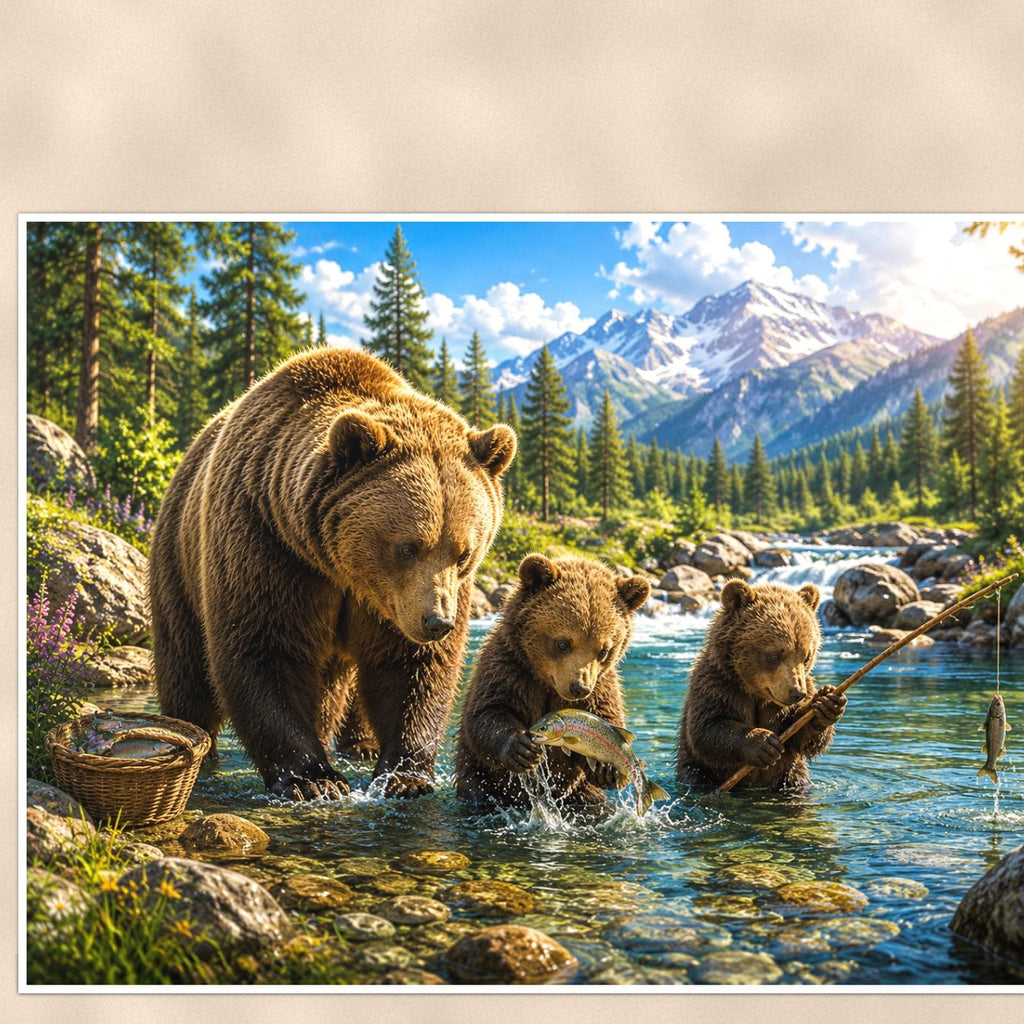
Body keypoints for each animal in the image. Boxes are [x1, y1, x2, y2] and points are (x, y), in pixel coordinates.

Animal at [149, 347, 516, 801]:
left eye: (464, 551)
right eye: (408, 546)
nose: (437, 622)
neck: (342, 569)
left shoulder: (391, 603)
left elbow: (410, 666)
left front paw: (405, 775)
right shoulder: (268, 544)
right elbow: (264, 648)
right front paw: (311, 778)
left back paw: (360, 744)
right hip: (178, 559)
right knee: (185, 666)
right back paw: (199, 740)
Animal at [455, 554, 650, 808]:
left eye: (604, 650)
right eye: (562, 643)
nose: (579, 687)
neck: (545, 681)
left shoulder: (602, 684)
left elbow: (606, 714)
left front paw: (606, 767)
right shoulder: (509, 668)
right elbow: (488, 710)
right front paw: (520, 748)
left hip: (582, 793)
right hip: (479, 780)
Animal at [675, 579, 846, 791]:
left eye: (806, 657)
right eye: (774, 655)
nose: (796, 693)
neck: (755, 692)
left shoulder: (795, 694)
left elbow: (800, 735)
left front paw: (827, 703)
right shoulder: (717, 684)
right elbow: (707, 728)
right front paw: (763, 744)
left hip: (793, 776)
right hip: (697, 772)